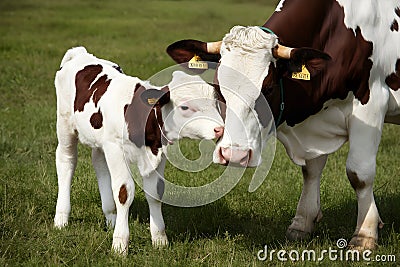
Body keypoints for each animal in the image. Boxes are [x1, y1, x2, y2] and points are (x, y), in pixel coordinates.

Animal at [53, 46, 223, 255]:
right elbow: (123, 192)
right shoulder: (116, 149)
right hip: (65, 124)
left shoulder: (159, 152)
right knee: (66, 161)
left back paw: (110, 217)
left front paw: (159, 240)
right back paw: (61, 218)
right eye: (185, 106)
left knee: (99, 164)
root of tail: (81, 54)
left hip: (100, 140)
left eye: (215, 102)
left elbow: (156, 192)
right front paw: (120, 244)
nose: (220, 128)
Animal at [167, 0, 400, 251]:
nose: (234, 155)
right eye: (218, 89)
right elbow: (311, 170)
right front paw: (302, 222)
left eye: (268, 88)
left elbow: (359, 173)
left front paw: (365, 235)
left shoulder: (372, 103)